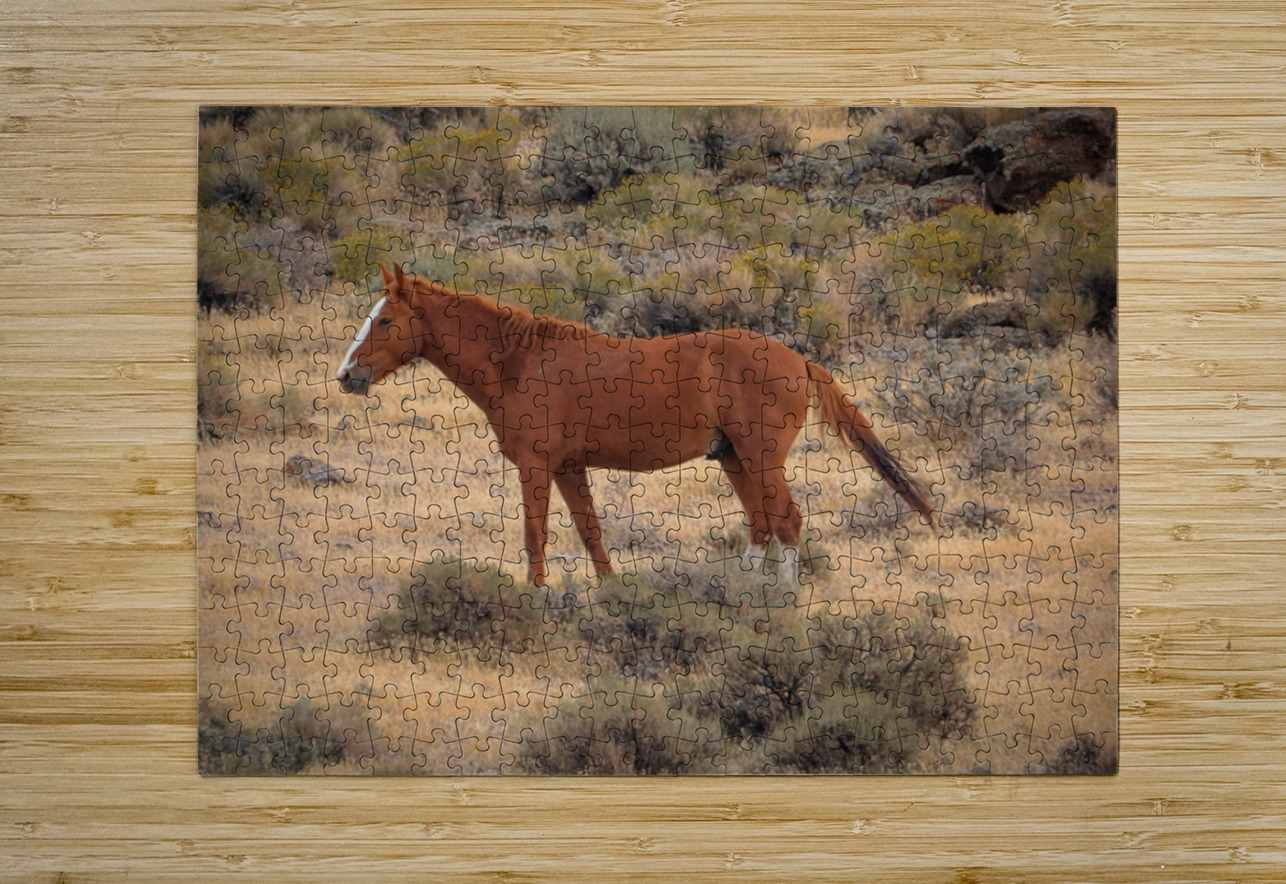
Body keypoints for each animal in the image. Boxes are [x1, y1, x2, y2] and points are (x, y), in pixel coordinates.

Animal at [337, 263, 934, 587]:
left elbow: (535, 536)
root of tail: (800, 360)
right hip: (736, 460)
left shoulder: (536, 467)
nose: (347, 375)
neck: (519, 361)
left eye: (385, 321)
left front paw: (535, 597)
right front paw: (611, 595)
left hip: (761, 460)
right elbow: (591, 533)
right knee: (762, 527)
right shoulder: (569, 468)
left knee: (786, 523)